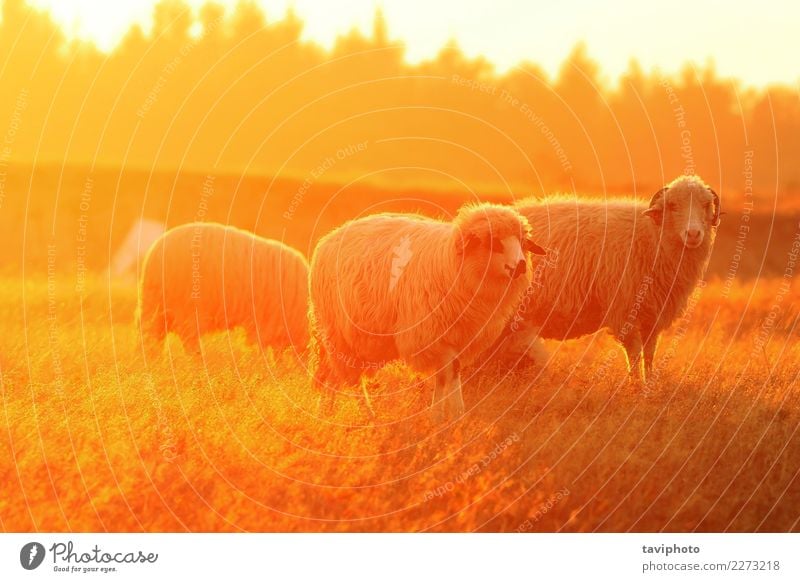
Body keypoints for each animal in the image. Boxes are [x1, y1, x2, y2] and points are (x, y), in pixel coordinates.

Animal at [134, 222, 310, 356]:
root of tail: (155, 256)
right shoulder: (267, 325)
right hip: (186, 309)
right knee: (186, 340)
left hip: (155, 306)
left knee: (149, 336)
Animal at [306, 203, 544, 422]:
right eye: (493, 242)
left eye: (522, 241)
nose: (521, 266)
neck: (451, 265)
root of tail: (327, 239)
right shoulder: (432, 337)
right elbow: (448, 373)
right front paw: (451, 415)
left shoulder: (457, 338)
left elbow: (447, 375)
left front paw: (444, 416)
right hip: (340, 335)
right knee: (349, 378)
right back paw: (366, 416)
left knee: (332, 376)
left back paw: (325, 414)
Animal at [500, 173, 720, 384]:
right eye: (673, 205)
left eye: (706, 205)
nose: (693, 234)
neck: (651, 236)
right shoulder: (626, 312)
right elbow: (634, 354)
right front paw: (635, 385)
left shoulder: (653, 317)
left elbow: (649, 354)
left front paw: (649, 383)